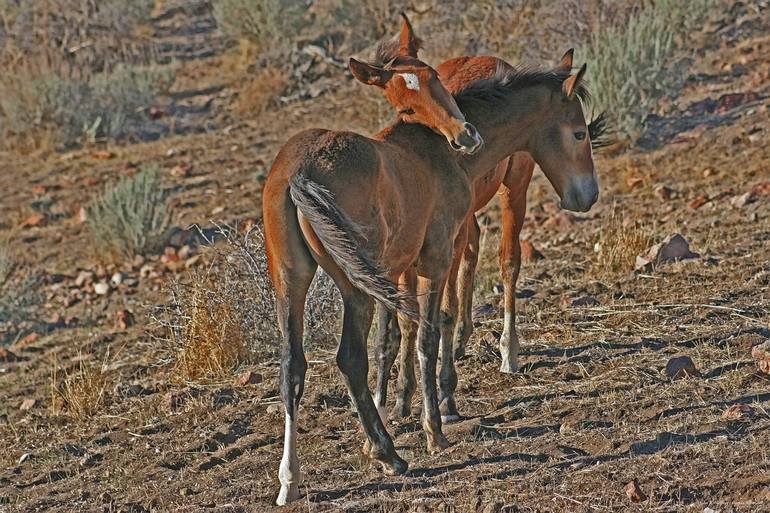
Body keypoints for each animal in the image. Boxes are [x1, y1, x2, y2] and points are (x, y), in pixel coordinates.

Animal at [266, 17, 480, 504]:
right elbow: (426, 336)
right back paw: (390, 454)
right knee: (349, 358)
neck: (420, 148)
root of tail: (299, 173)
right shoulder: (435, 259)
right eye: (407, 100)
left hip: (289, 279)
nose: (466, 136)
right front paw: (433, 431)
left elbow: (393, 337)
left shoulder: (394, 272)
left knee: (292, 367)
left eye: (431, 77)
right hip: (352, 286)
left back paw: (289, 480)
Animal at [372, 51, 600, 420]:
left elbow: (441, 312)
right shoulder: (410, 255)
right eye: (579, 134)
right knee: (475, 253)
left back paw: (507, 352)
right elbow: (408, 321)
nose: (589, 195)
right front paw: (403, 397)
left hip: (514, 190)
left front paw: (444, 398)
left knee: (508, 261)